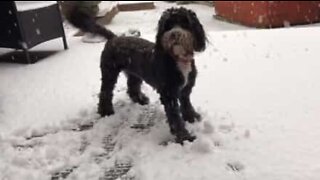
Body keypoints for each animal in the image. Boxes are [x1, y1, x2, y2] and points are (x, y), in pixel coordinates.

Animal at [67, 5, 208, 144]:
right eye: (167, 25)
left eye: (185, 23)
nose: (174, 34)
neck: (176, 58)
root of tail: (114, 38)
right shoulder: (169, 93)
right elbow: (175, 118)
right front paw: (185, 137)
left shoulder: (186, 88)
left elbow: (186, 103)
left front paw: (192, 117)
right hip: (109, 72)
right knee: (105, 92)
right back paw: (106, 111)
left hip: (134, 73)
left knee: (132, 86)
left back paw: (140, 99)